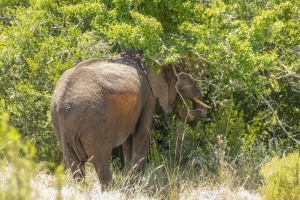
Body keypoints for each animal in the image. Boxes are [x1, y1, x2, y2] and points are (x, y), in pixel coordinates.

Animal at [51, 48, 211, 184]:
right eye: (183, 78)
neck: (153, 59)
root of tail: (63, 103)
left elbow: (128, 141)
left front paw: (130, 182)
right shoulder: (148, 95)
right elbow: (142, 134)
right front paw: (136, 185)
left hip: (60, 125)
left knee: (74, 164)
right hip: (93, 125)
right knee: (100, 160)